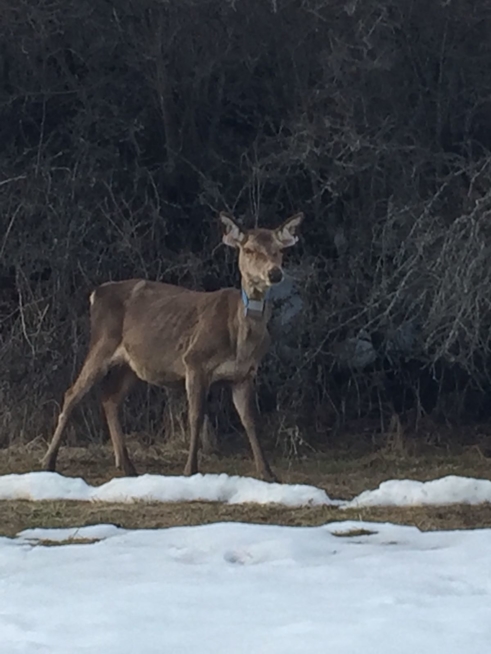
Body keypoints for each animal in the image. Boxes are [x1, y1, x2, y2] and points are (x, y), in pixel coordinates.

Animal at [42, 210, 304, 482]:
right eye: (249, 249)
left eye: (279, 250)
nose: (275, 273)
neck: (241, 338)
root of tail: (96, 293)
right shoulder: (195, 361)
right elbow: (196, 417)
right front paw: (190, 470)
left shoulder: (244, 374)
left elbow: (250, 421)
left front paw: (268, 474)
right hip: (102, 342)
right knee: (72, 394)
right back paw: (48, 461)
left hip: (132, 363)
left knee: (110, 397)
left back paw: (127, 466)